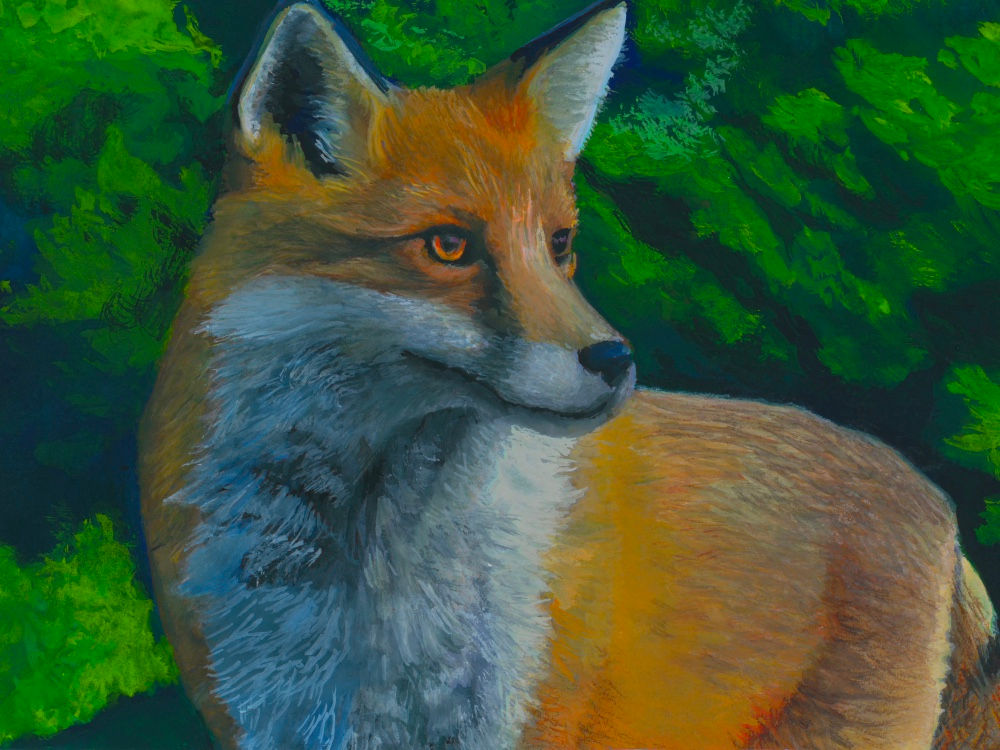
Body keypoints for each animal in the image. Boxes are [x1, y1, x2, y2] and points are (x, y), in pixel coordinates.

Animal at [138, 1, 1000, 748]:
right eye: (448, 246)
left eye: (559, 245)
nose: (616, 361)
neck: (374, 577)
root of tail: (939, 507)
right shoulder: (276, 720)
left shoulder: (528, 721)